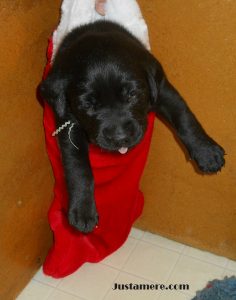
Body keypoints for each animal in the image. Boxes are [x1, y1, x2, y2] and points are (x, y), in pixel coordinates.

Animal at [40, 20, 225, 232]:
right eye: (88, 105)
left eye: (131, 95)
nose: (120, 137)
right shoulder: (67, 120)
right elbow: (77, 165)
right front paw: (82, 210)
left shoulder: (161, 89)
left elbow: (184, 116)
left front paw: (206, 152)